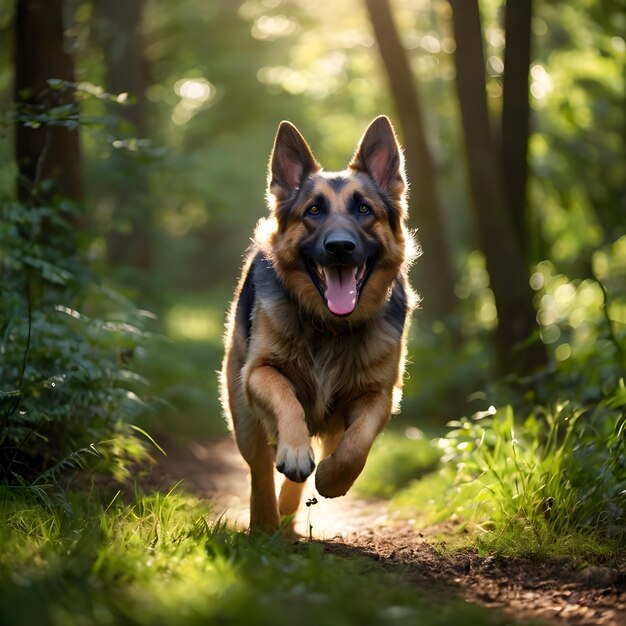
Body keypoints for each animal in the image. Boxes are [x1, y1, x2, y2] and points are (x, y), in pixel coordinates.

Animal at [219, 114, 414, 528]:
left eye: (364, 210)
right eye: (313, 211)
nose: (339, 247)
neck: (330, 327)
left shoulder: (379, 394)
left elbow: (358, 443)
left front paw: (333, 477)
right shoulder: (260, 372)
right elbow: (287, 401)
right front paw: (294, 451)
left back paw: (289, 511)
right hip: (242, 414)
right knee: (259, 469)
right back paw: (265, 521)